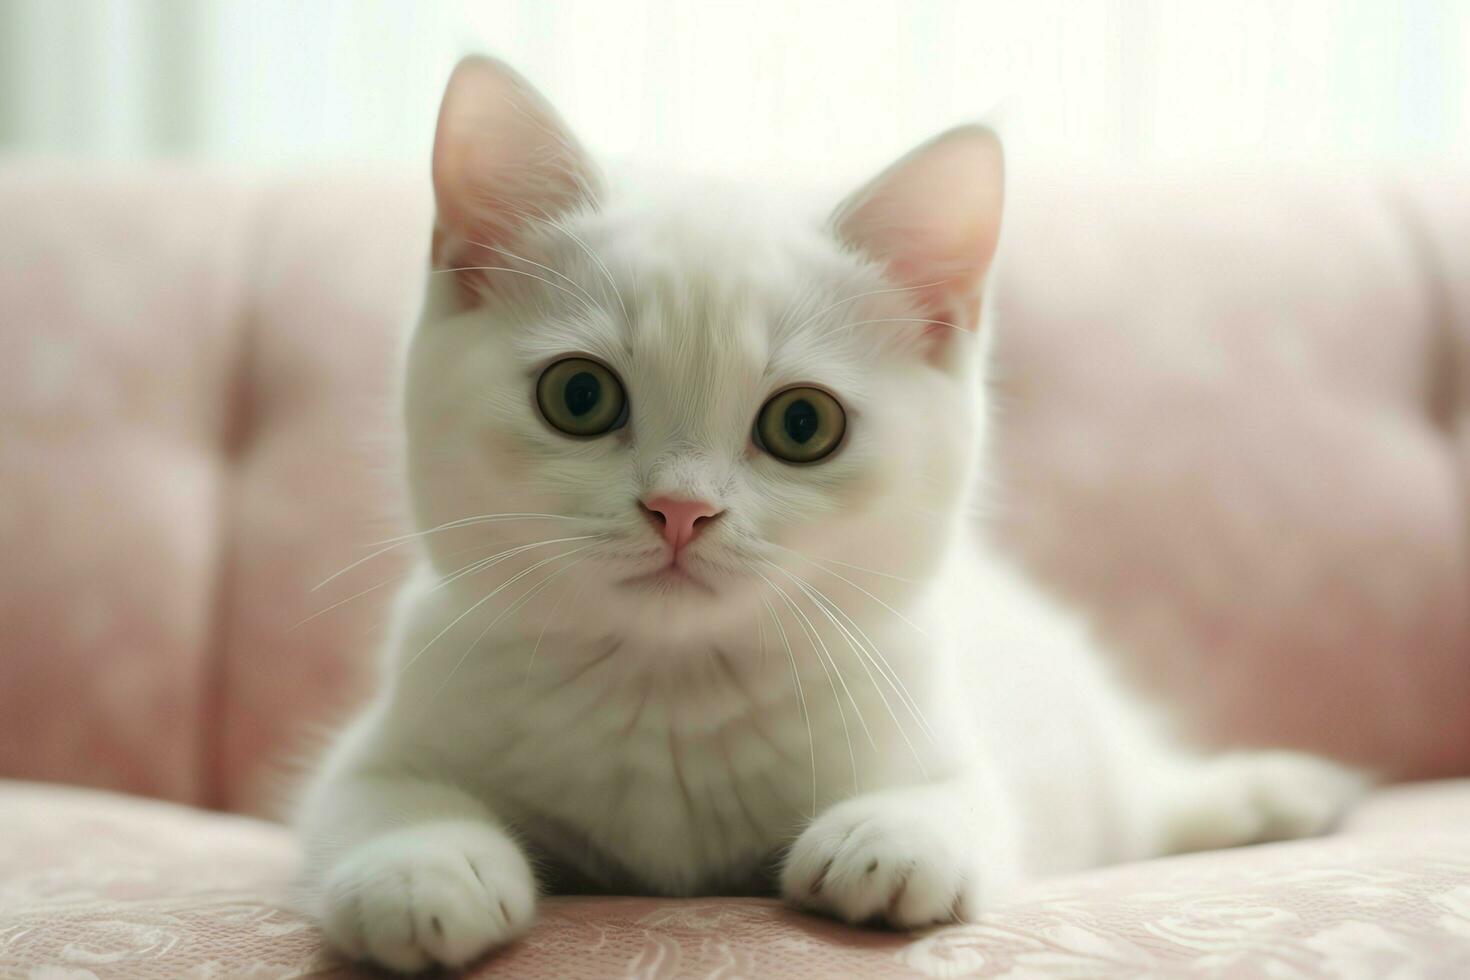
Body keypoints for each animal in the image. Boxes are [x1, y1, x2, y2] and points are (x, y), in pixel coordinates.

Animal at [298, 59, 1364, 975]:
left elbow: (968, 800)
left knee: (1143, 799)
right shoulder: (381, 737)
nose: (680, 509)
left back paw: (1274, 795)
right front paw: (419, 868)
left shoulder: (944, 726)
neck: (667, 692)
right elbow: (368, 795)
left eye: (802, 423)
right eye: (580, 397)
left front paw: (890, 838)